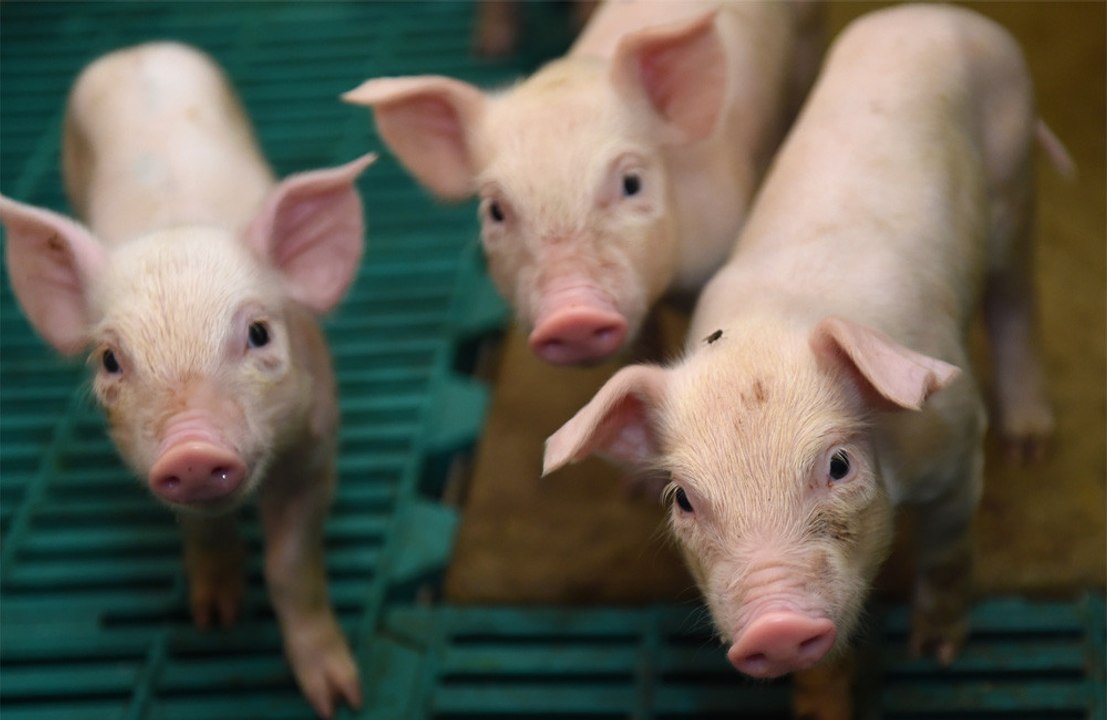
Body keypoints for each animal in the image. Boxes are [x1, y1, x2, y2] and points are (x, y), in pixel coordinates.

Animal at [0, 42, 375, 718]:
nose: (192, 449)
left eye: (259, 333)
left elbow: (289, 566)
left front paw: (340, 698)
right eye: (109, 360)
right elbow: (203, 528)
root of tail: (134, 52)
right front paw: (215, 619)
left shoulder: (318, 445)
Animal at [543, 4, 1059, 717]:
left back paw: (1030, 445)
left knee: (1016, 296)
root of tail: (932, 13)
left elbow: (948, 554)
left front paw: (936, 653)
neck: (764, 330)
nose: (776, 628)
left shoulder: (956, 447)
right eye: (682, 499)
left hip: (1015, 181)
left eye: (838, 465)